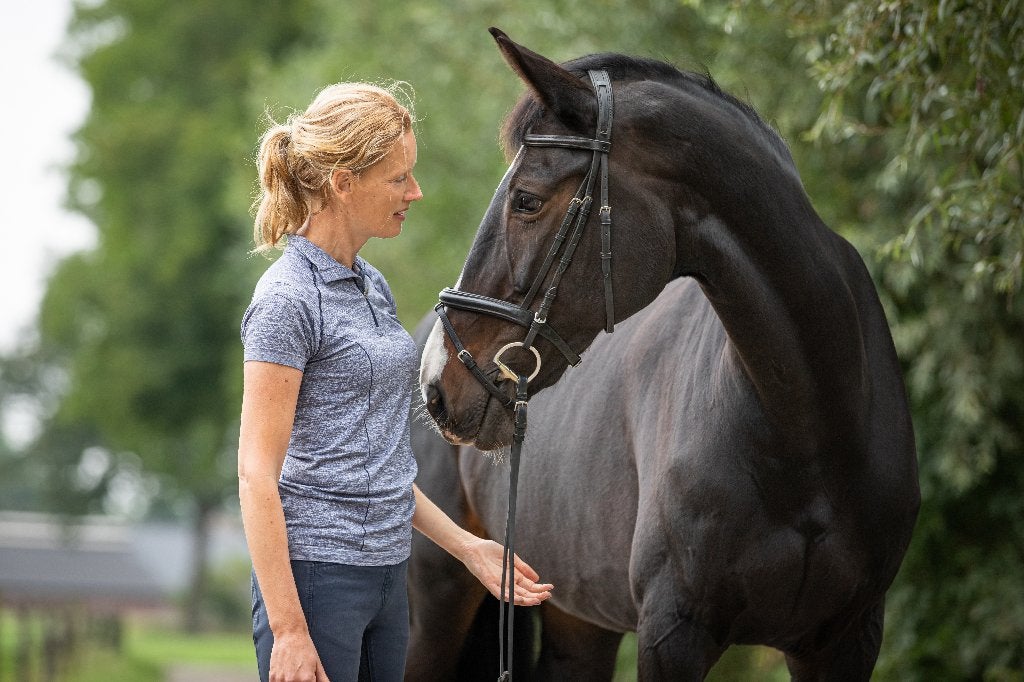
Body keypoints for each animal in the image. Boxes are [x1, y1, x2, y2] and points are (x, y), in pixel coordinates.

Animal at [411, 28, 920, 680]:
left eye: (525, 200)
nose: (437, 383)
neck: (811, 433)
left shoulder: (845, 640)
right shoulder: (673, 634)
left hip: (577, 621)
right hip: (434, 611)